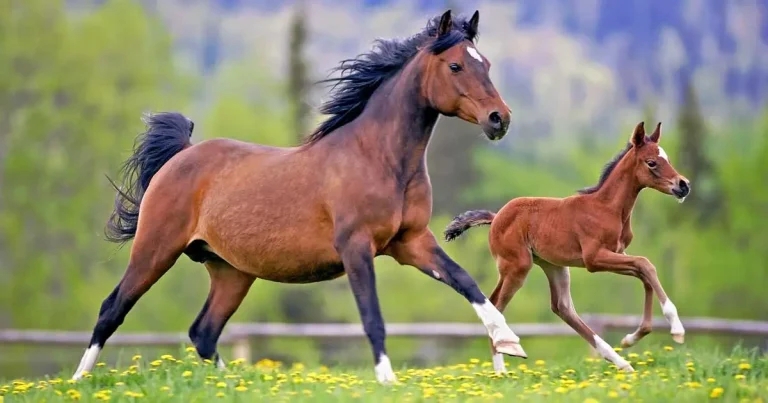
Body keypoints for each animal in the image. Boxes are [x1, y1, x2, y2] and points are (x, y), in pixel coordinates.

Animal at [71, 10, 528, 384]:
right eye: (455, 65)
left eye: (485, 63)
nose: (500, 119)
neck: (378, 158)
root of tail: (181, 155)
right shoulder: (356, 247)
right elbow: (372, 316)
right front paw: (387, 380)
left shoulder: (411, 242)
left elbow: (466, 282)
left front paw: (510, 342)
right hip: (156, 248)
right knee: (112, 309)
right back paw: (78, 381)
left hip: (231, 271)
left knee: (204, 332)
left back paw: (235, 383)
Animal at [443, 122, 691, 374]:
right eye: (651, 162)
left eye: (667, 158)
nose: (683, 185)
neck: (607, 208)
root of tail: (495, 218)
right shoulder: (594, 259)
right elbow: (645, 264)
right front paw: (676, 328)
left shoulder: (617, 254)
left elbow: (644, 273)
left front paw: (632, 338)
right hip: (517, 266)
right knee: (496, 304)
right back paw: (502, 368)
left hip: (554, 265)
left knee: (562, 307)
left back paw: (620, 362)